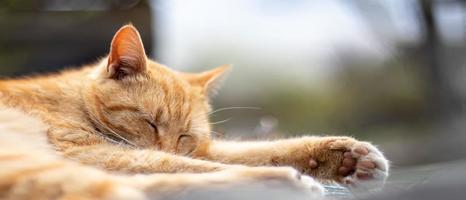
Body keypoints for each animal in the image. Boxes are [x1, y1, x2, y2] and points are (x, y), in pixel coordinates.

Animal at [0, 24, 388, 198]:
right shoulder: (93, 152)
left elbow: (256, 151)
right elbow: (181, 163)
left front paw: (348, 158)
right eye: (150, 123)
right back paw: (286, 184)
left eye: (184, 136)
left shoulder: (202, 148)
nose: (168, 144)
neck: (76, 100)